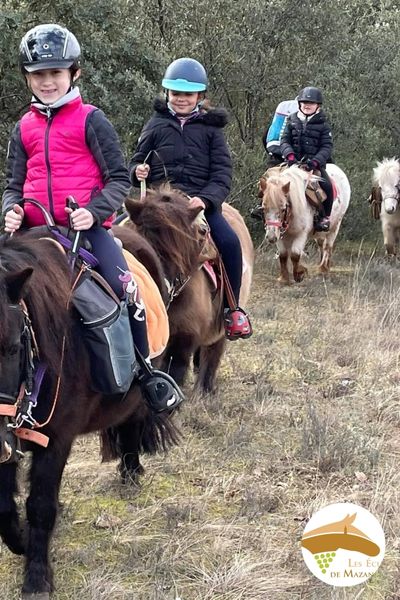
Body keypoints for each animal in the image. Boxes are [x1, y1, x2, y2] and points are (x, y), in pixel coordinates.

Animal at [0, 227, 178, 596]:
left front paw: (36, 579)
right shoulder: (9, 434)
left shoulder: (56, 439)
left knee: (133, 421)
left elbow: (40, 506)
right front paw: (19, 540)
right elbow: (5, 505)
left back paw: (131, 474)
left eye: (11, 347)